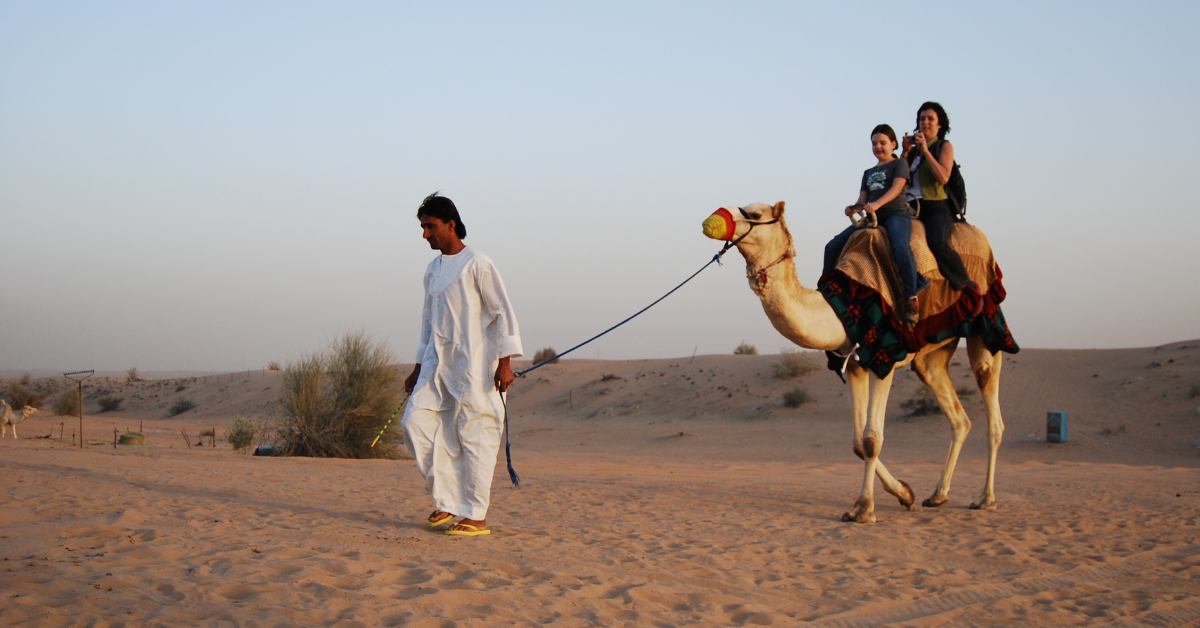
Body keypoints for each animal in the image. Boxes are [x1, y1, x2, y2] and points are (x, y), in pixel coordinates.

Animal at [700, 201, 1012, 521]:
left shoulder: (885, 359)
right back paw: (938, 495)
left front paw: (863, 508)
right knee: (957, 415)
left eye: (755, 215)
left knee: (991, 404)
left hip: (987, 324)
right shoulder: (853, 365)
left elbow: (872, 440)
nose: (712, 220)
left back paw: (985, 498)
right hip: (934, 353)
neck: (843, 306)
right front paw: (905, 493)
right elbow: (858, 444)